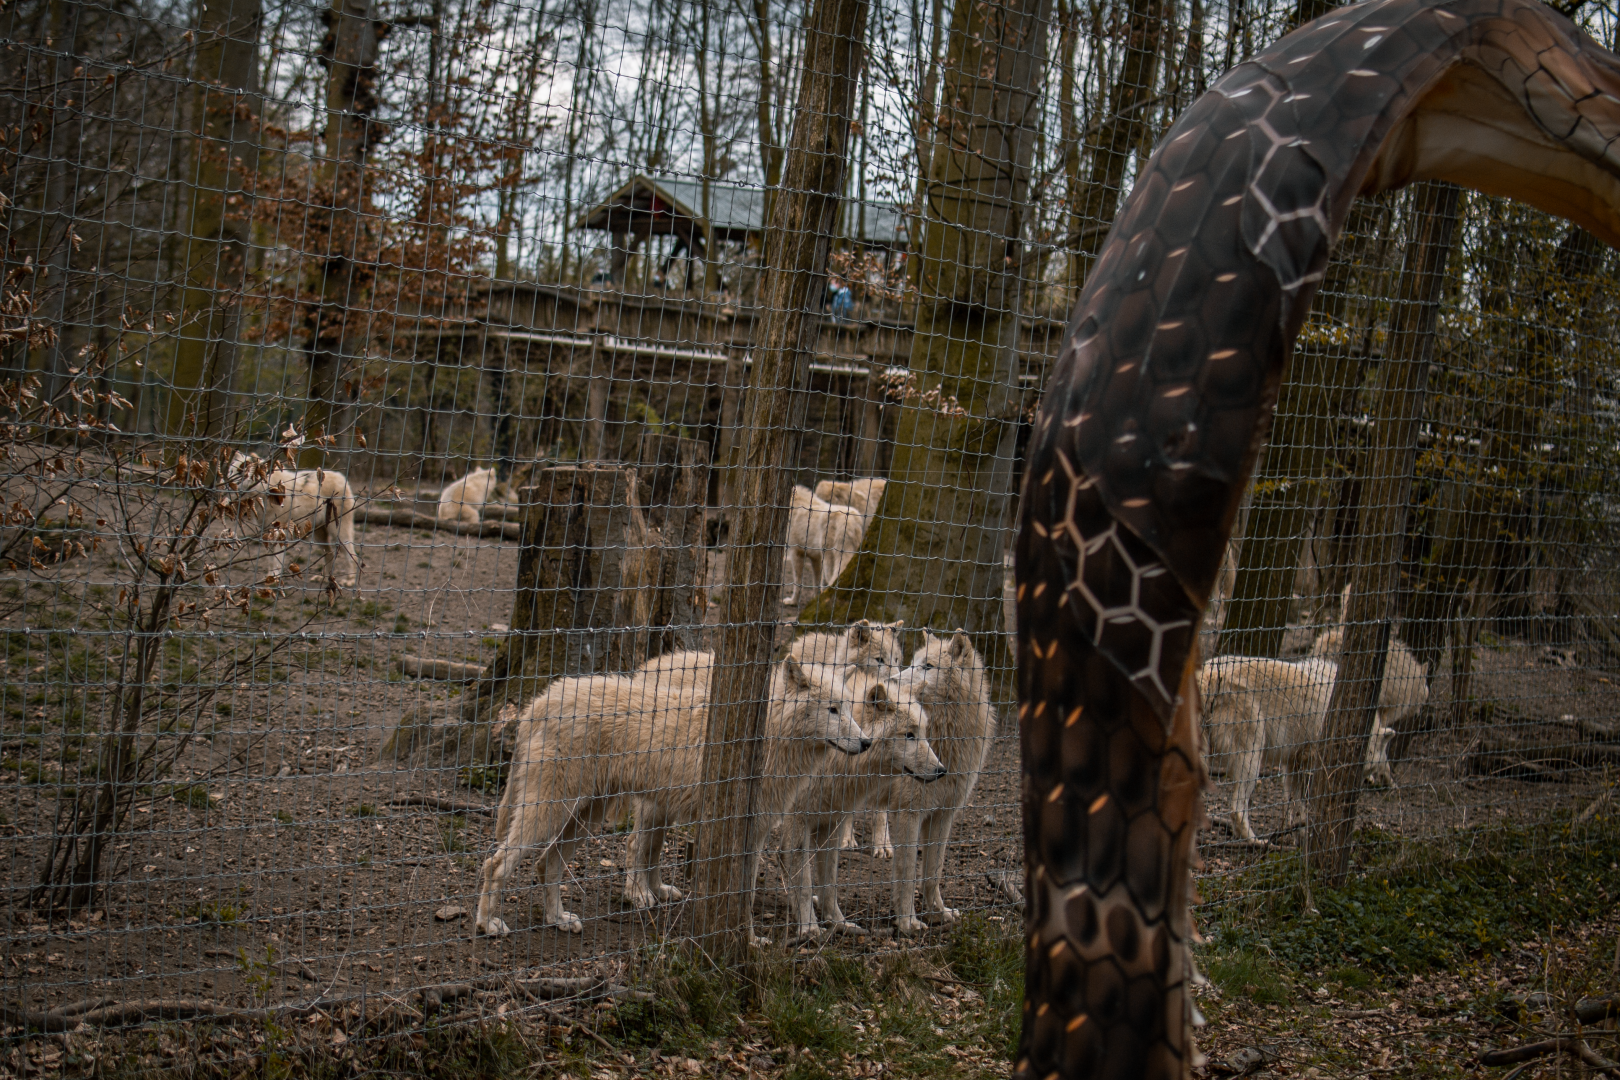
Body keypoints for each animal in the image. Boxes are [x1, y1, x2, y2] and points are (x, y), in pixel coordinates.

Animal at [474, 656, 869, 936]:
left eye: (850, 707)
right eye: (832, 709)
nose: (866, 742)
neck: (766, 734)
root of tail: (540, 700)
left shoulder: (754, 834)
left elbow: (743, 894)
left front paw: (746, 941)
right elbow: (744, 894)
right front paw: (747, 939)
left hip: (586, 817)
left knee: (548, 864)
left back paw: (557, 919)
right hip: (552, 812)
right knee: (495, 863)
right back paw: (489, 925)